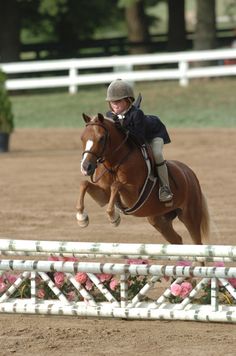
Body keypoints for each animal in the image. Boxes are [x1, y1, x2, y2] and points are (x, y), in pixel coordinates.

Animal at [76, 113, 210, 245]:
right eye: (82, 138)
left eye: (102, 138)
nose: (86, 167)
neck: (113, 165)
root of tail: (189, 173)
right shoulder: (103, 195)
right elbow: (84, 184)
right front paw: (82, 218)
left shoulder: (132, 197)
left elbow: (116, 185)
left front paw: (114, 218)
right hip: (158, 219)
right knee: (177, 239)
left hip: (189, 216)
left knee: (196, 241)